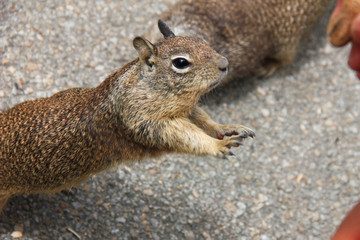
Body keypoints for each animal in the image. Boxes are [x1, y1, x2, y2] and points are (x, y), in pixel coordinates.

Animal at [0, 21, 255, 212]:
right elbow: (186, 138)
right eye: (181, 62)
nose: (225, 64)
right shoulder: (144, 121)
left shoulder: (187, 109)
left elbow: (204, 120)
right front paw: (217, 145)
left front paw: (226, 128)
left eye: (202, 41)